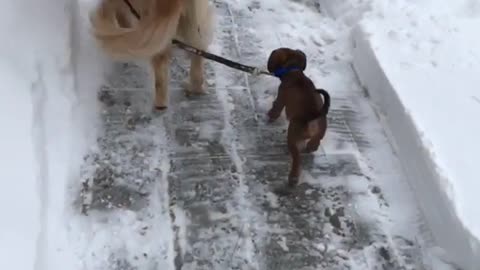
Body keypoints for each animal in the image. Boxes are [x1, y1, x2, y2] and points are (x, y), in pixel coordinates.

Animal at [266, 48, 330, 188]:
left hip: (293, 136)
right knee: (313, 145)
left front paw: (270, 116)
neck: (293, 70)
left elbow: (275, 109)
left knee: (296, 159)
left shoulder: (280, 98)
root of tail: (314, 115)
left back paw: (293, 178)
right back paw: (309, 149)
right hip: (318, 135)